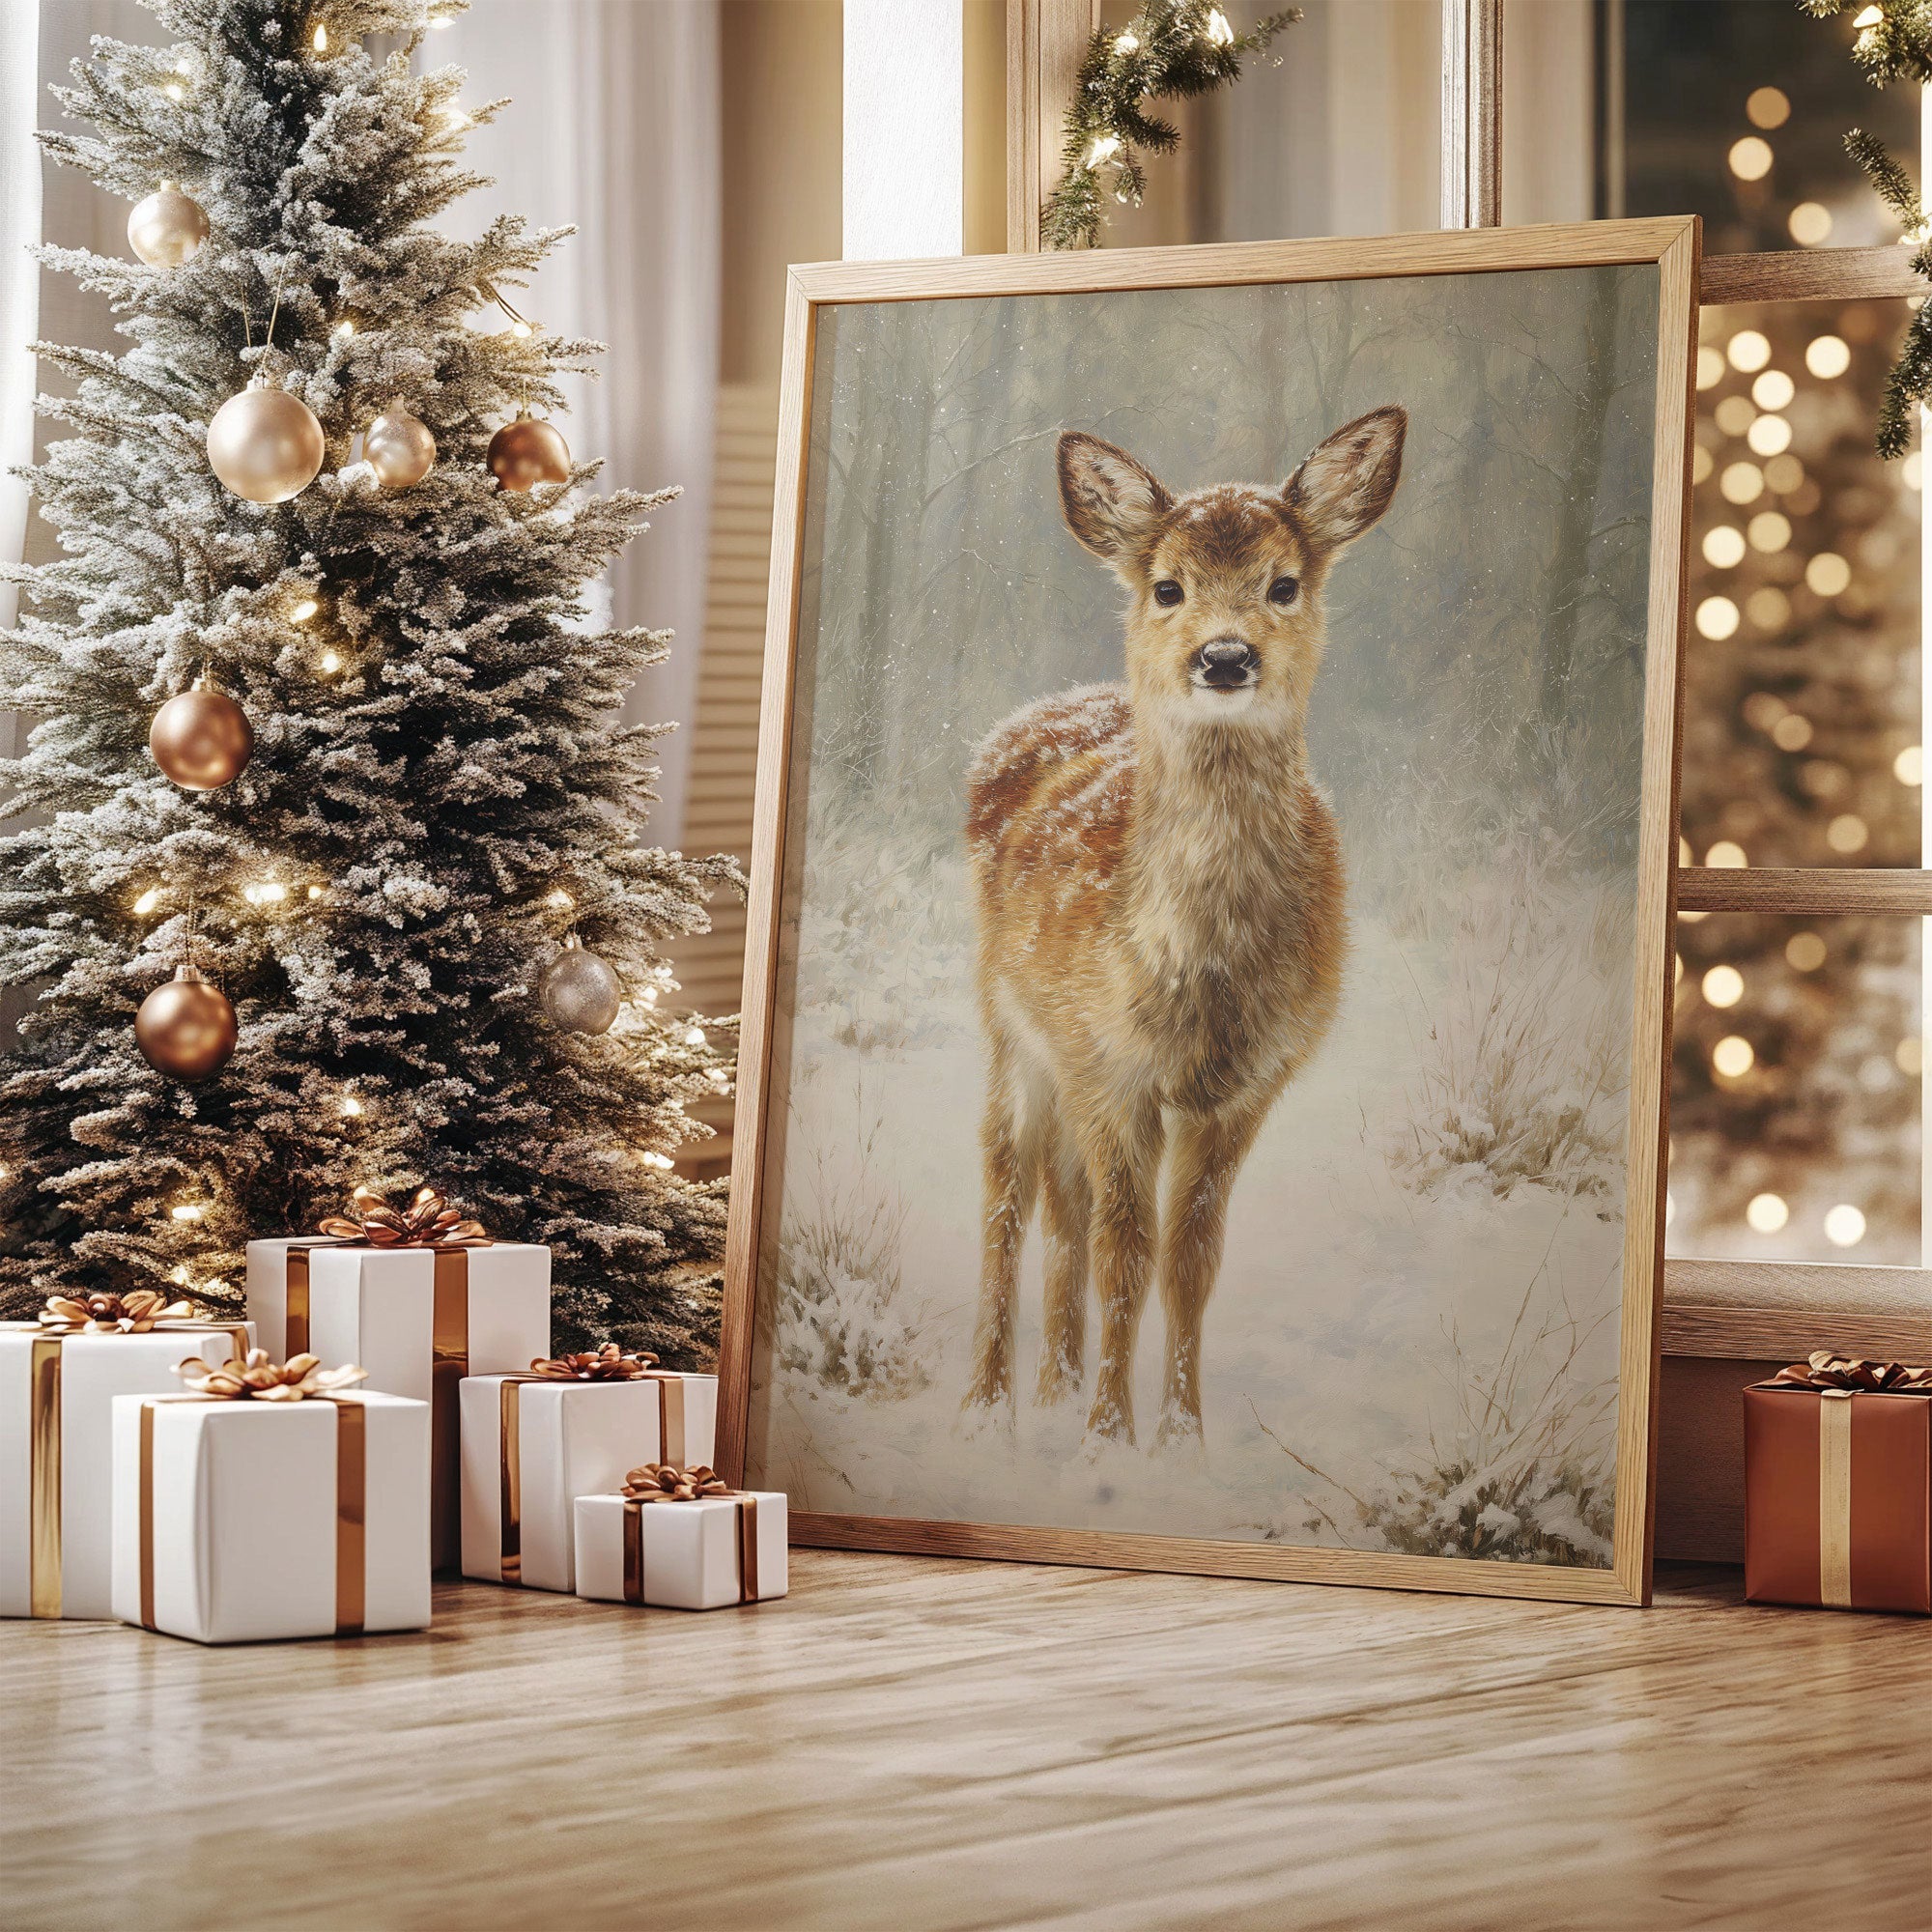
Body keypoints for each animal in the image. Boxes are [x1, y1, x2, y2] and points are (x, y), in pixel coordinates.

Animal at [962, 407, 1407, 1448]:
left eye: (1283, 583)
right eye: (1167, 586)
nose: (1225, 656)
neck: (1192, 974)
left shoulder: (1245, 1086)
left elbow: (1189, 1258)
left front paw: (1177, 1436)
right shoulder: (1103, 1063)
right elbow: (1124, 1249)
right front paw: (1106, 1437)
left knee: (1064, 1205)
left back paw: (1051, 1385)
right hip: (1010, 1028)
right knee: (1011, 1192)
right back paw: (991, 1402)